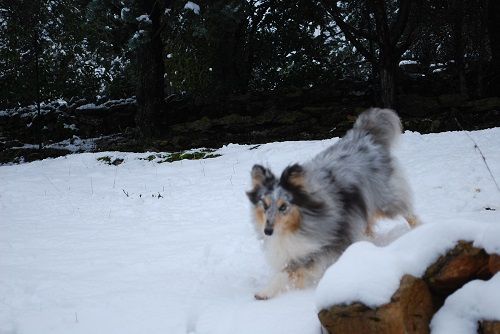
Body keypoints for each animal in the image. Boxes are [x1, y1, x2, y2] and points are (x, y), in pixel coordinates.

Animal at [246, 108, 418, 298]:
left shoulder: (325, 245)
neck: (297, 225)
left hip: (386, 199)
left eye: (283, 206)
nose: (267, 231)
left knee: (408, 212)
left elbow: (290, 271)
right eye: (265, 205)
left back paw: (419, 230)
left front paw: (265, 292)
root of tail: (362, 136)